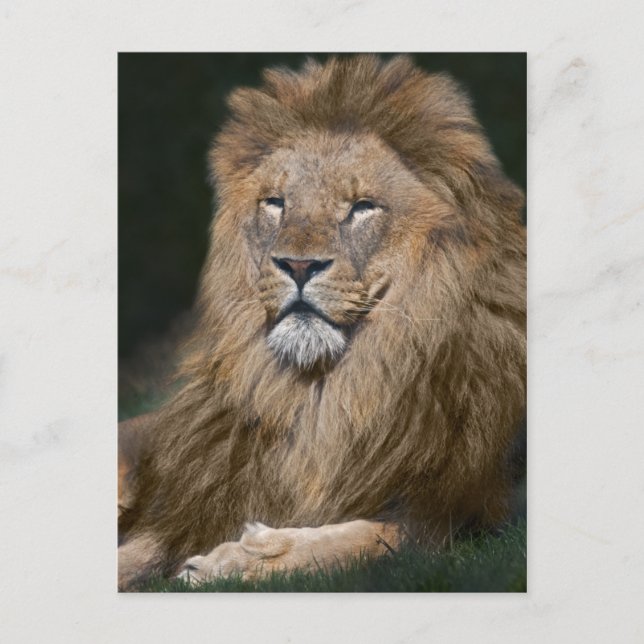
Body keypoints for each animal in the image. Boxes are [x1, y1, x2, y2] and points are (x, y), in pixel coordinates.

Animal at [118, 54, 526, 590]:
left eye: (362, 207)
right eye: (276, 202)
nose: (297, 265)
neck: (324, 397)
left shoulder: (477, 517)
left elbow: (371, 539)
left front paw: (235, 561)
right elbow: (138, 550)